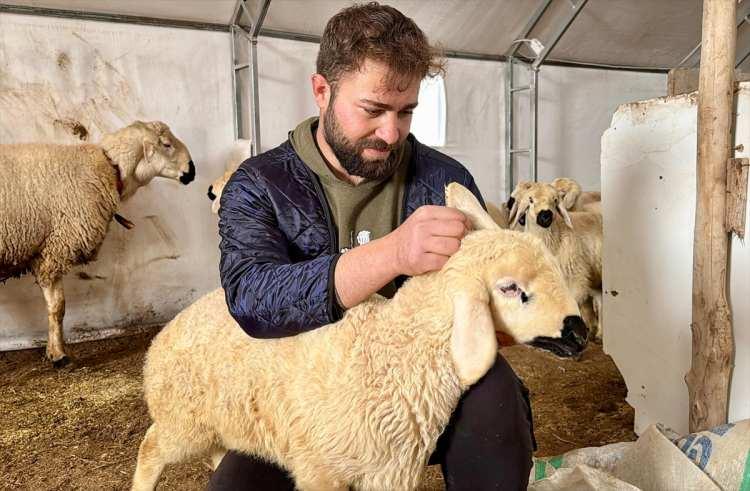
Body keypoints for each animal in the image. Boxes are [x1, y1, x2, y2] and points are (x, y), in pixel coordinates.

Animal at [0, 120, 197, 366]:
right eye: (167, 144)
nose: (192, 171)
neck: (109, 168)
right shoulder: (55, 250)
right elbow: (58, 308)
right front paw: (58, 354)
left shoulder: (47, 251)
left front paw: (53, 351)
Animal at [132, 183, 592, 490]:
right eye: (511, 288)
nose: (580, 330)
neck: (393, 351)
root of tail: (165, 335)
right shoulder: (320, 468)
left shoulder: (391, 472)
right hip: (182, 419)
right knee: (150, 447)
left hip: (221, 422)